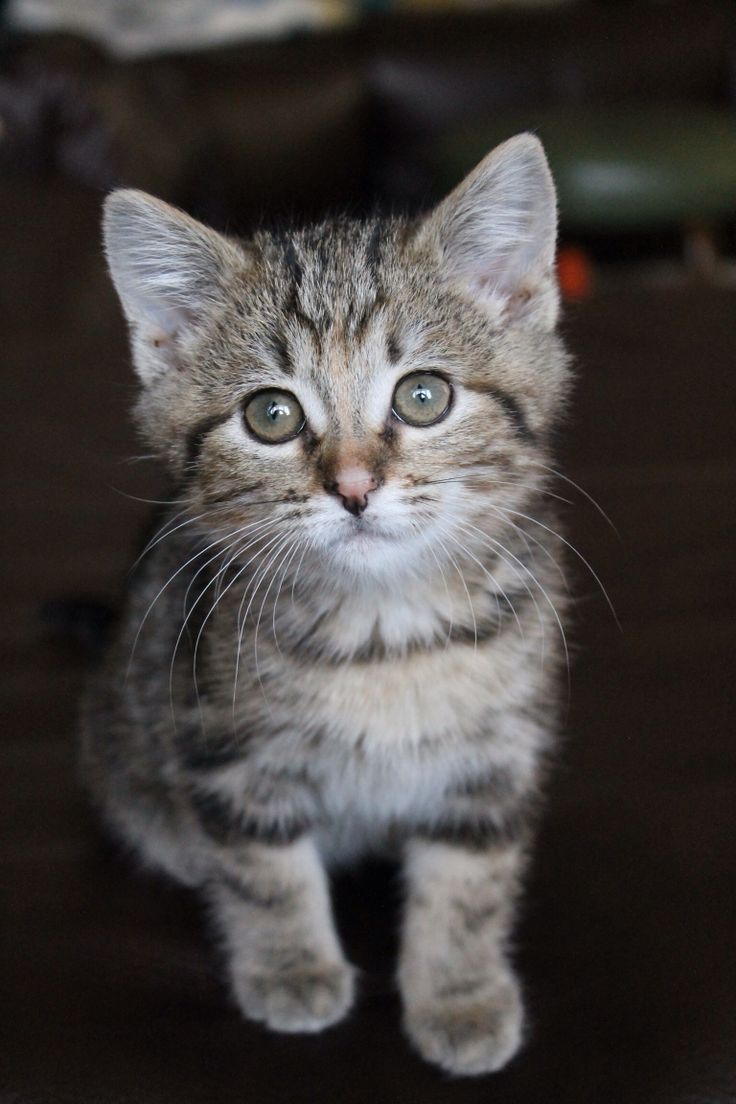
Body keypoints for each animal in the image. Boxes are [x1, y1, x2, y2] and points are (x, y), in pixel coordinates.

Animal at [82, 133, 573, 1073]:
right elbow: (263, 870)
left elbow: (469, 882)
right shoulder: (223, 746)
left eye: (424, 396)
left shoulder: (495, 754)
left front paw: (459, 994)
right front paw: (290, 968)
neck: (384, 632)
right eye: (270, 415)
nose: (352, 486)